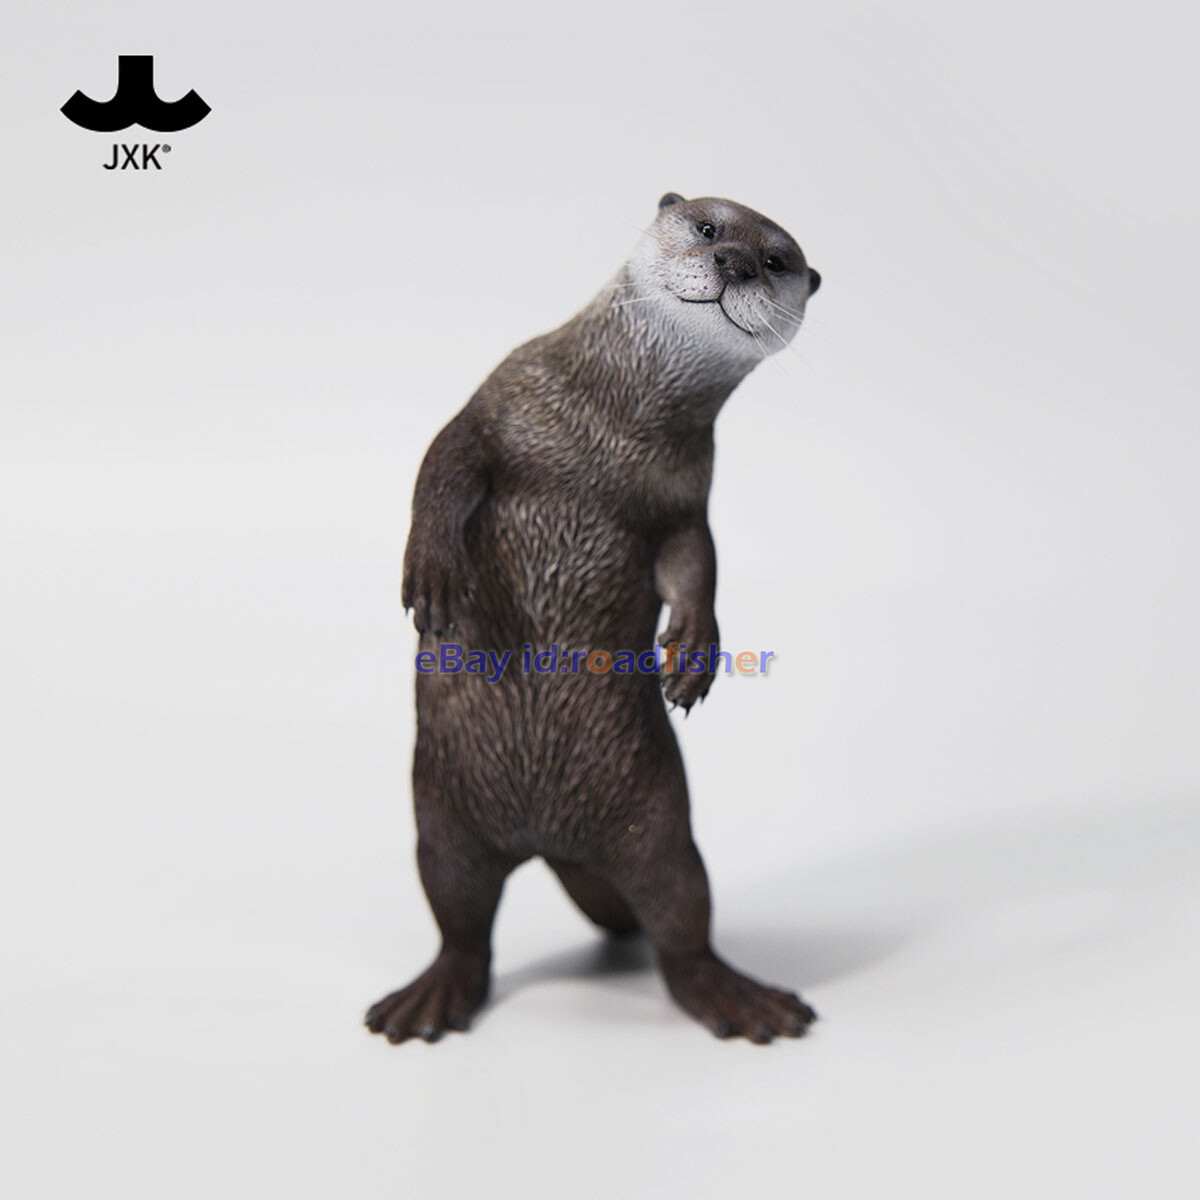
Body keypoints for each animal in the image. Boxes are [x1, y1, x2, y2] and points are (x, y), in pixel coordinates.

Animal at [365, 193, 821, 1044]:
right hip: (443, 824)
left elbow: (696, 562)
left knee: (682, 923)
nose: (736, 263)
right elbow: (442, 463)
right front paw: (432, 576)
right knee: (460, 922)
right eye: (708, 227)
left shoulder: (685, 495)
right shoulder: (501, 399)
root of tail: (552, 846)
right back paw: (430, 998)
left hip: (660, 826)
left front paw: (694, 654)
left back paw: (738, 998)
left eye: (777, 260)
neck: (612, 433)